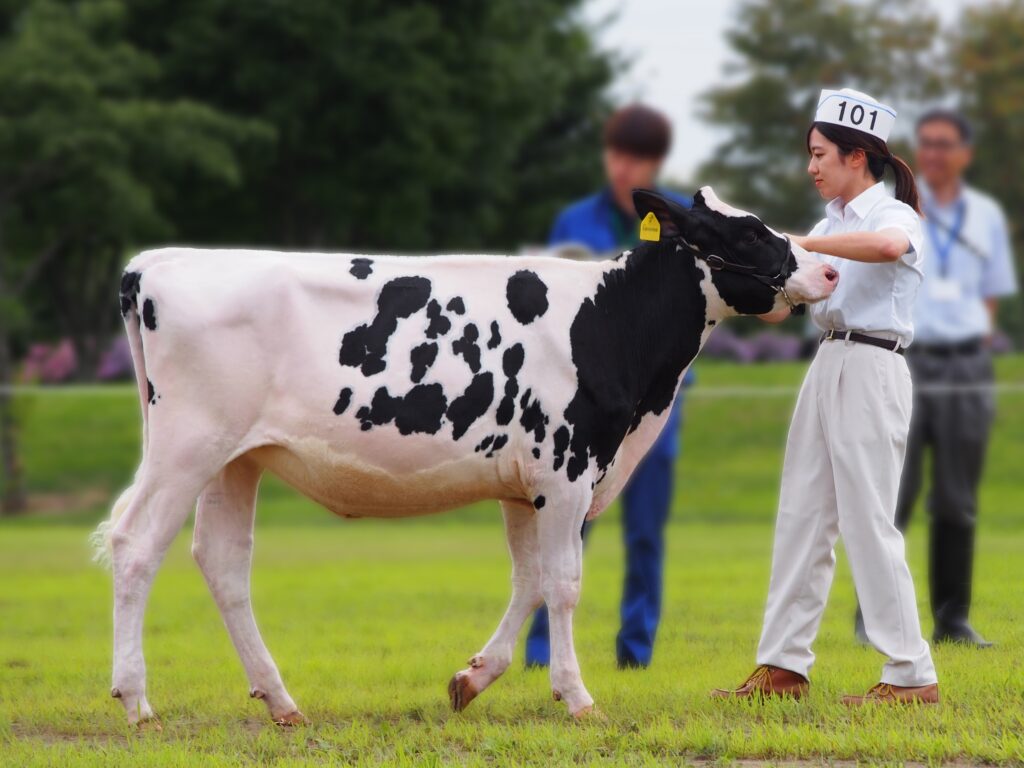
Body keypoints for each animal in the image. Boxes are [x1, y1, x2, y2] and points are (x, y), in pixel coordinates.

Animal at [96, 186, 835, 729]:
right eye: (748, 233)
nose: (828, 267)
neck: (609, 321)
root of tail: (159, 263)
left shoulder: (525, 484)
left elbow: (529, 581)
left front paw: (471, 680)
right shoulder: (567, 470)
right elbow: (563, 584)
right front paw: (579, 698)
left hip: (235, 459)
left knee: (223, 563)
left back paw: (280, 702)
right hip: (188, 444)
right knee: (136, 545)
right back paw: (136, 702)